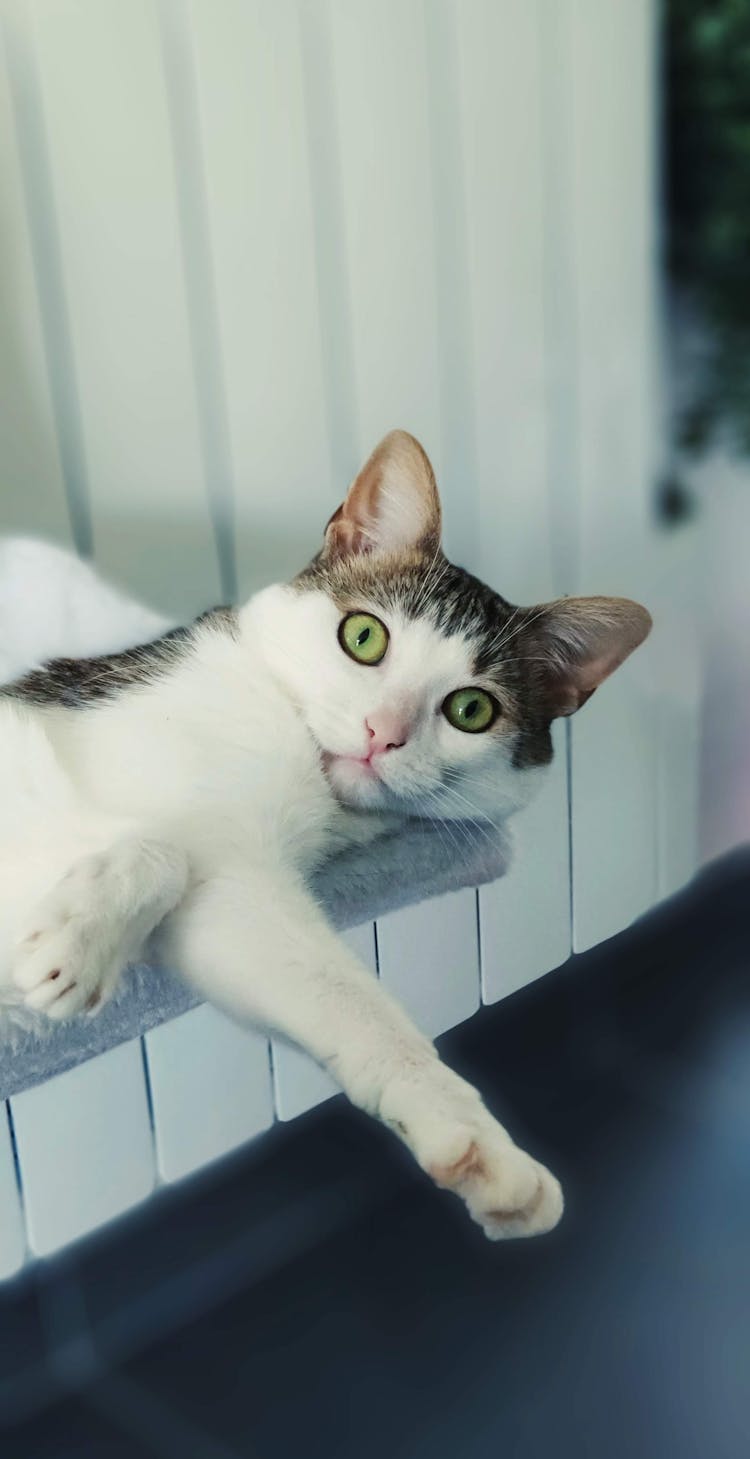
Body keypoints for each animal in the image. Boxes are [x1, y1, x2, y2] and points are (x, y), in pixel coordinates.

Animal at [0, 431, 647, 1243]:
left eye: (471, 710)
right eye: (363, 636)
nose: (382, 734)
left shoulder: (238, 893)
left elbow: (339, 998)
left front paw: (470, 1145)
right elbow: (160, 850)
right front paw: (71, 944)